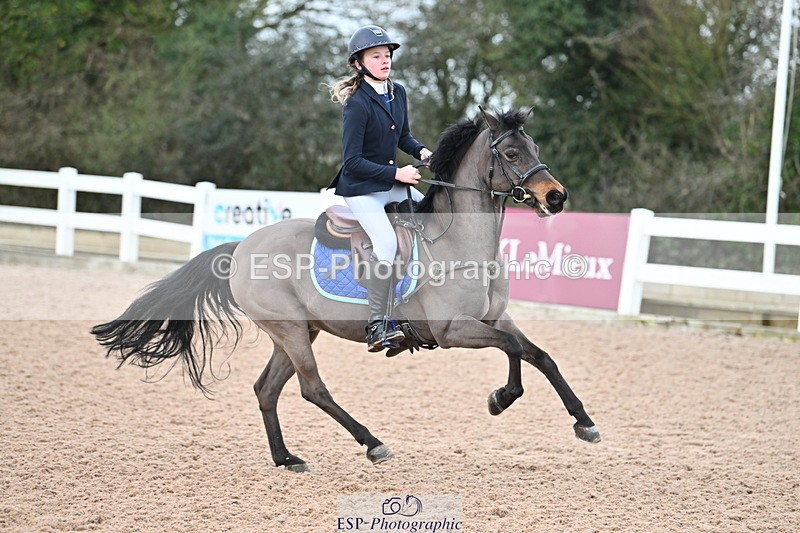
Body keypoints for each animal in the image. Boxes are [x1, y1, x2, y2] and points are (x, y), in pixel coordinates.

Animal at [91, 107, 600, 472]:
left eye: (533, 145)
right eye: (511, 154)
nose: (556, 197)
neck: (459, 240)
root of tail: (240, 247)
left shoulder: (494, 318)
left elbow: (536, 354)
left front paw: (581, 421)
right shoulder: (453, 329)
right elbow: (514, 348)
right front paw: (504, 399)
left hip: (299, 331)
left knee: (267, 389)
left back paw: (286, 459)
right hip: (291, 331)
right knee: (312, 389)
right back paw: (372, 443)